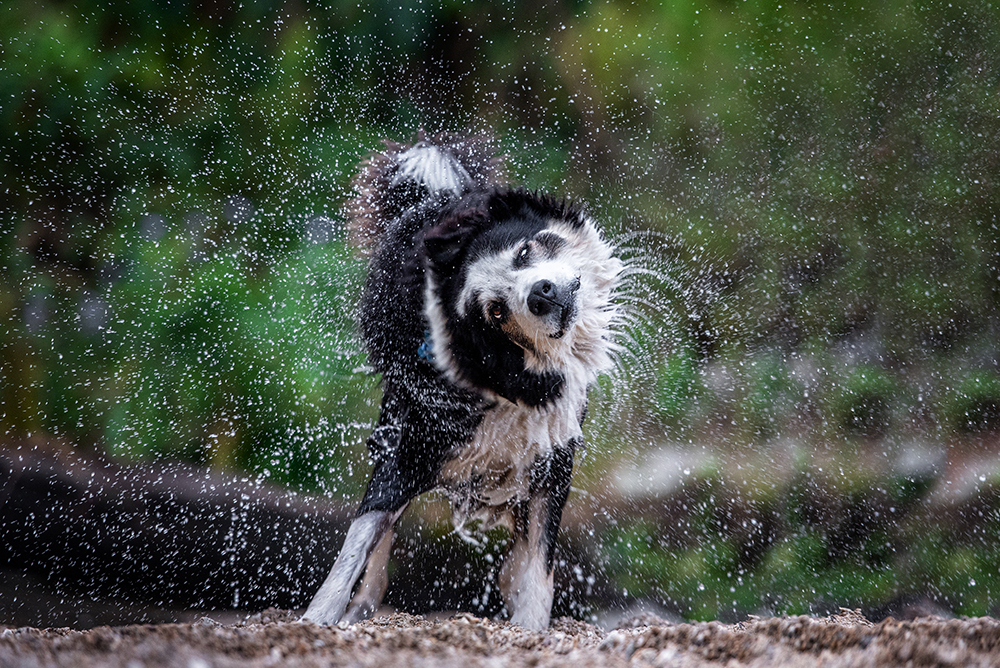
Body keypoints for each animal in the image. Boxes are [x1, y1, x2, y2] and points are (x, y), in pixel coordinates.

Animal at [300, 132, 620, 632]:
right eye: (496, 312)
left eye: (524, 252)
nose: (542, 294)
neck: (507, 381)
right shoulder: (417, 440)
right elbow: (362, 534)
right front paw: (318, 616)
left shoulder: (552, 452)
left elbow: (537, 560)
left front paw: (529, 623)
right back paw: (364, 605)